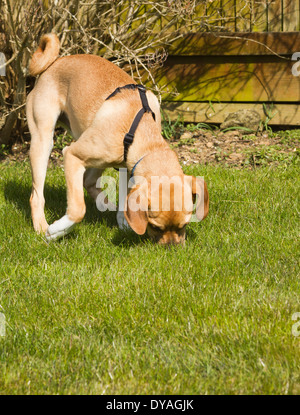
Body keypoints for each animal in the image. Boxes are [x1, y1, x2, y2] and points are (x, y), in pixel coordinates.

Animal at [26, 35, 209, 247]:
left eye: (184, 225)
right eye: (156, 227)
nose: (172, 249)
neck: (142, 134)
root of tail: (54, 63)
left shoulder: (127, 166)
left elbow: (125, 196)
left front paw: (124, 219)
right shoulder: (72, 155)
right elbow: (78, 209)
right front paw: (58, 230)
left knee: (89, 181)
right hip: (43, 140)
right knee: (37, 195)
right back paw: (41, 226)